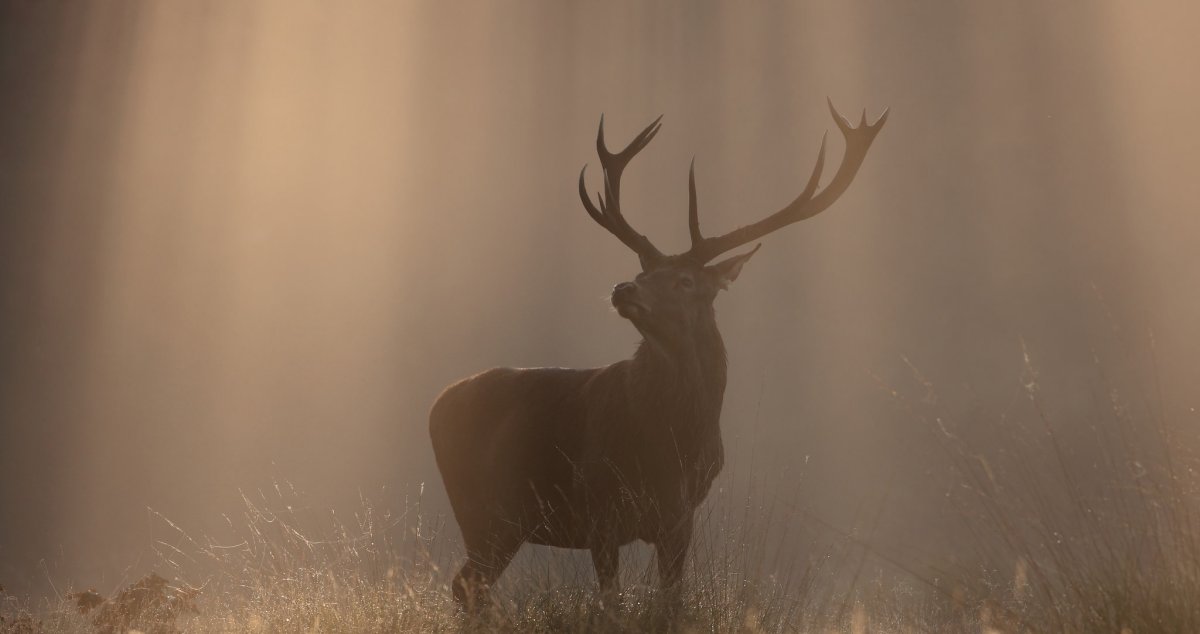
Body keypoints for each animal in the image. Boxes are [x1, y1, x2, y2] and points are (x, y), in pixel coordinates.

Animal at [429, 100, 886, 611]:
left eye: (685, 281)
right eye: (644, 271)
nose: (623, 288)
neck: (673, 440)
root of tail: (436, 407)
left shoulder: (680, 518)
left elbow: (670, 598)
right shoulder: (600, 506)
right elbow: (611, 603)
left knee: (469, 585)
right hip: (484, 509)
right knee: (468, 584)